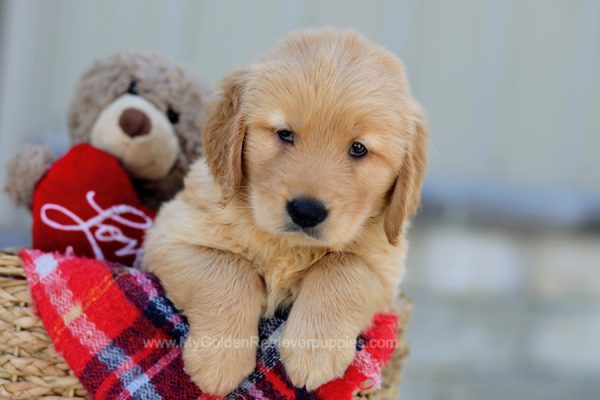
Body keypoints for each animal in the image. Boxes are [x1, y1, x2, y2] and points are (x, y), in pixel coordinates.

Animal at [144, 28, 428, 396]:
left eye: (359, 148)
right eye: (284, 134)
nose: (306, 211)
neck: (289, 246)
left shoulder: (385, 266)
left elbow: (343, 267)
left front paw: (314, 351)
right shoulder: (170, 234)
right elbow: (227, 268)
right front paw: (220, 359)